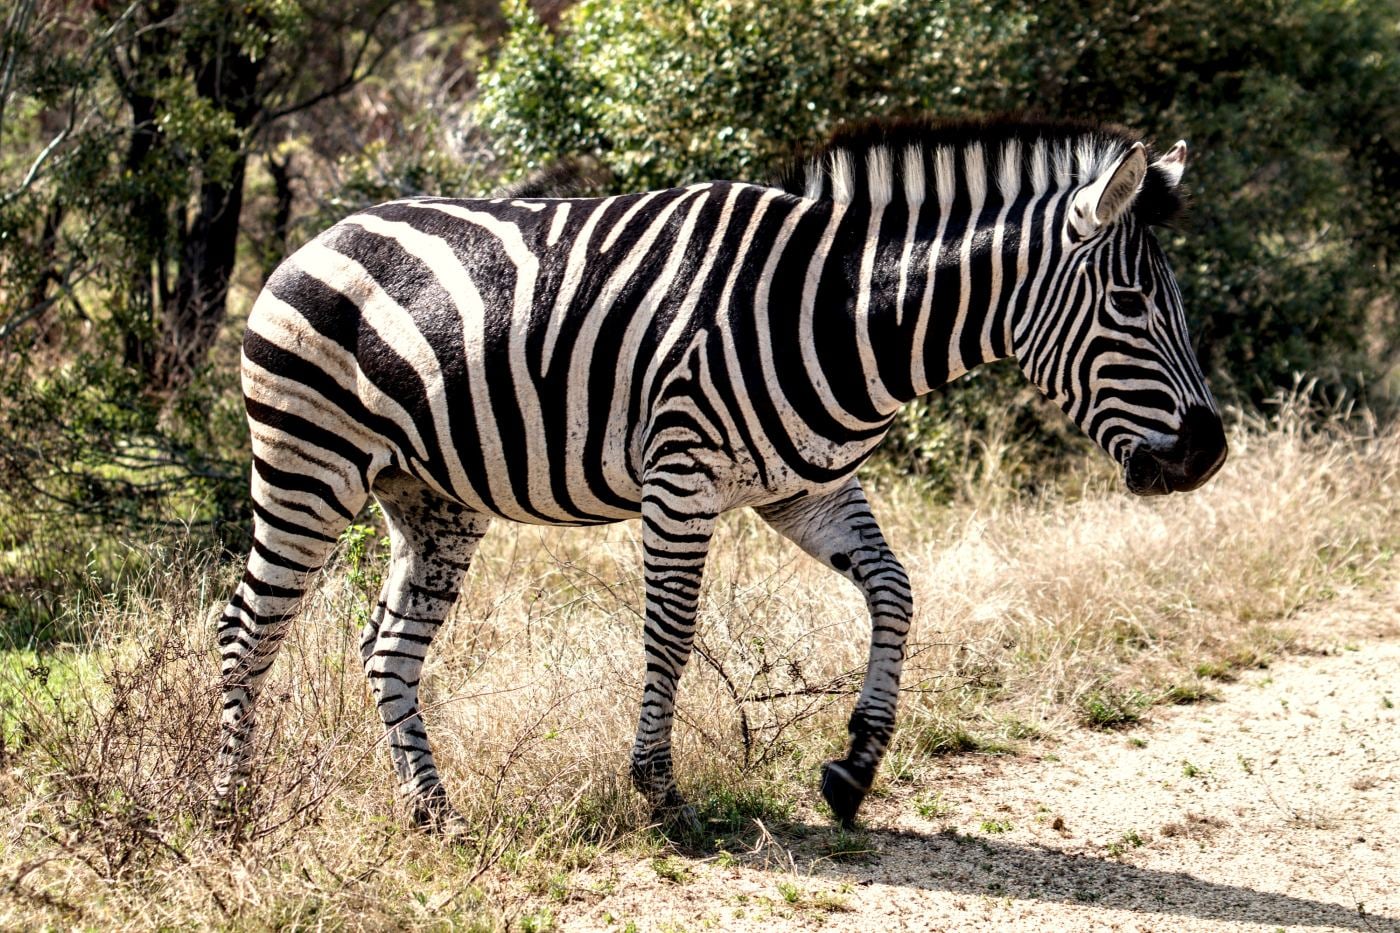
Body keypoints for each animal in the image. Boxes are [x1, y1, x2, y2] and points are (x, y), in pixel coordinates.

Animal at [215, 116, 1227, 832]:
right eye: (1130, 303)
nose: (1208, 453)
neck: (836, 310)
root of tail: (321, 236)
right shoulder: (682, 475)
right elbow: (671, 631)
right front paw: (660, 793)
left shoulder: (807, 487)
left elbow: (896, 591)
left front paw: (853, 768)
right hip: (309, 466)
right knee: (245, 629)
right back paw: (230, 815)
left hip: (432, 498)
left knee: (387, 646)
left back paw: (435, 815)